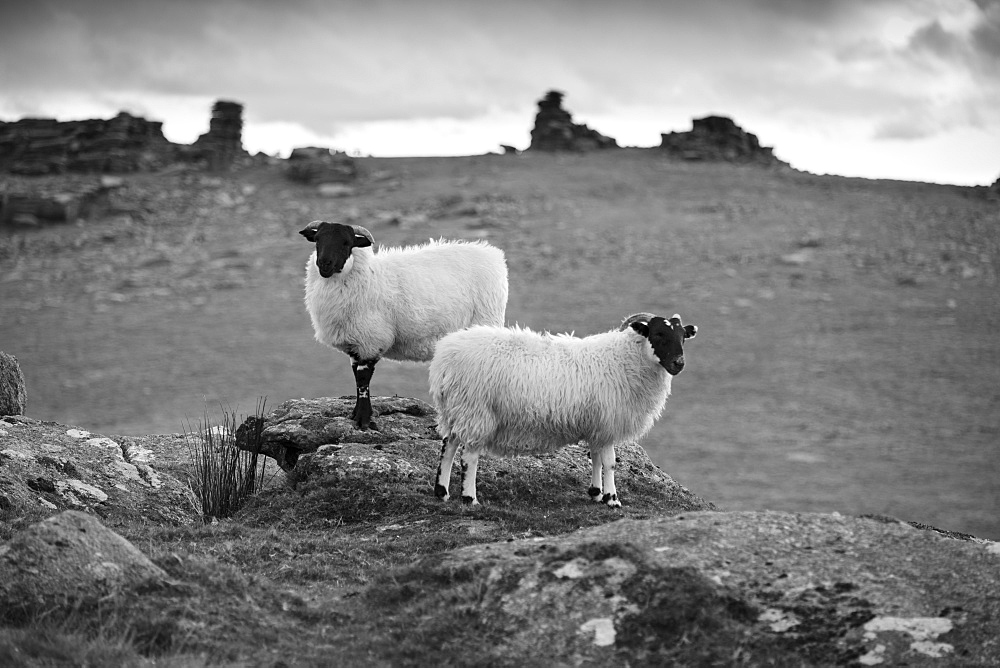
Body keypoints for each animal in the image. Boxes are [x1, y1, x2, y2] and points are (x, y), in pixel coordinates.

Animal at [298, 219, 508, 428]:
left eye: (346, 243)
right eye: (317, 240)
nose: (324, 264)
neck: (366, 275)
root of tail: (492, 255)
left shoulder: (371, 340)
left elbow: (363, 379)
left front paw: (363, 419)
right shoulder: (355, 344)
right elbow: (357, 379)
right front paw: (356, 414)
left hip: (483, 323)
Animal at [428, 314, 696, 506]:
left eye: (683, 336)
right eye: (658, 334)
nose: (679, 363)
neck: (625, 359)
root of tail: (445, 358)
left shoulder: (596, 425)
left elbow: (595, 459)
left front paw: (596, 493)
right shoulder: (607, 424)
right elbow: (609, 463)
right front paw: (612, 499)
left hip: (456, 410)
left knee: (448, 445)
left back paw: (442, 492)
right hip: (477, 411)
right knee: (469, 456)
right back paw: (469, 498)